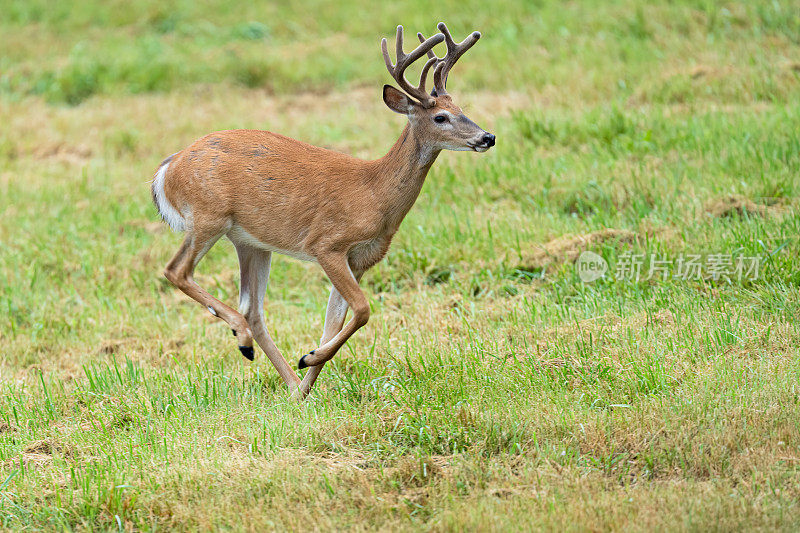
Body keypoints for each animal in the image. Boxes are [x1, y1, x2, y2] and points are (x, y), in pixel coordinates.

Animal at [152, 22, 494, 396]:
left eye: (461, 107)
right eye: (440, 116)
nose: (487, 137)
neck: (375, 193)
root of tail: (168, 169)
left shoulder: (361, 259)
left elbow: (336, 321)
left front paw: (307, 379)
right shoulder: (327, 243)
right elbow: (363, 309)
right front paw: (308, 360)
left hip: (250, 242)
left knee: (253, 308)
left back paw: (283, 379)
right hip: (208, 217)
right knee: (176, 270)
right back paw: (244, 340)